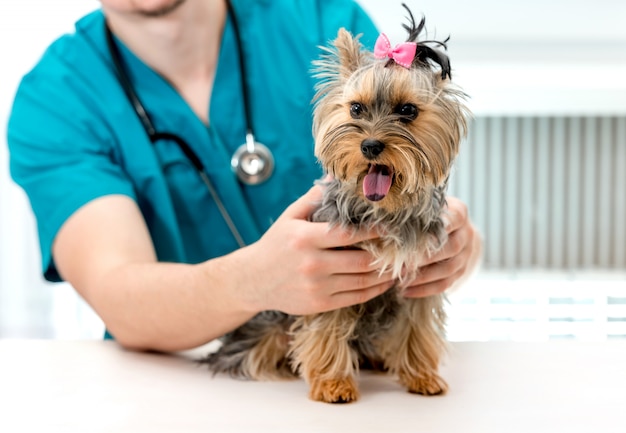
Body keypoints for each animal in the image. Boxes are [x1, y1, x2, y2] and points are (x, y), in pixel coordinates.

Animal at [202, 4, 470, 402]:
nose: (370, 145)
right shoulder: (328, 283)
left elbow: (417, 326)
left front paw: (421, 375)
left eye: (408, 111)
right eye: (356, 109)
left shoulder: (420, 274)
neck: (384, 210)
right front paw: (333, 383)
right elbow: (327, 326)